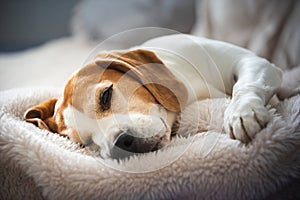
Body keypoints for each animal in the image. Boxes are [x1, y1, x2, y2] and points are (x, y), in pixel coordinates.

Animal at [22, 34, 282, 159]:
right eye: (84, 143)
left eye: (106, 95)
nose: (121, 144)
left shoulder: (253, 62)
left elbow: (245, 85)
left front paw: (242, 113)